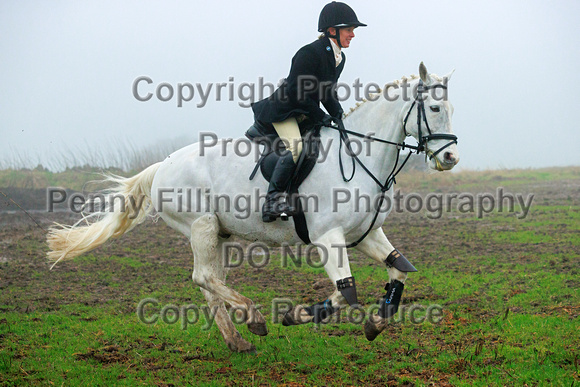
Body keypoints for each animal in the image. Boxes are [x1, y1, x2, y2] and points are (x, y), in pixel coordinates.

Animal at [47, 64, 460, 354]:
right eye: (434, 107)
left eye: (451, 107)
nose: (450, 158)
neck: (360, 157)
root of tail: (163, 165)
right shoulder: (327, 237)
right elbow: (346, 291)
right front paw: (295, 315)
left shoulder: (367, 234)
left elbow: (399, 272)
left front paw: (376, 323)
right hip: (200, 226)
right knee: (204, 277)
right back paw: (255, 318)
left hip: (219, 233)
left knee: (211, 283)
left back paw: (238, 340)